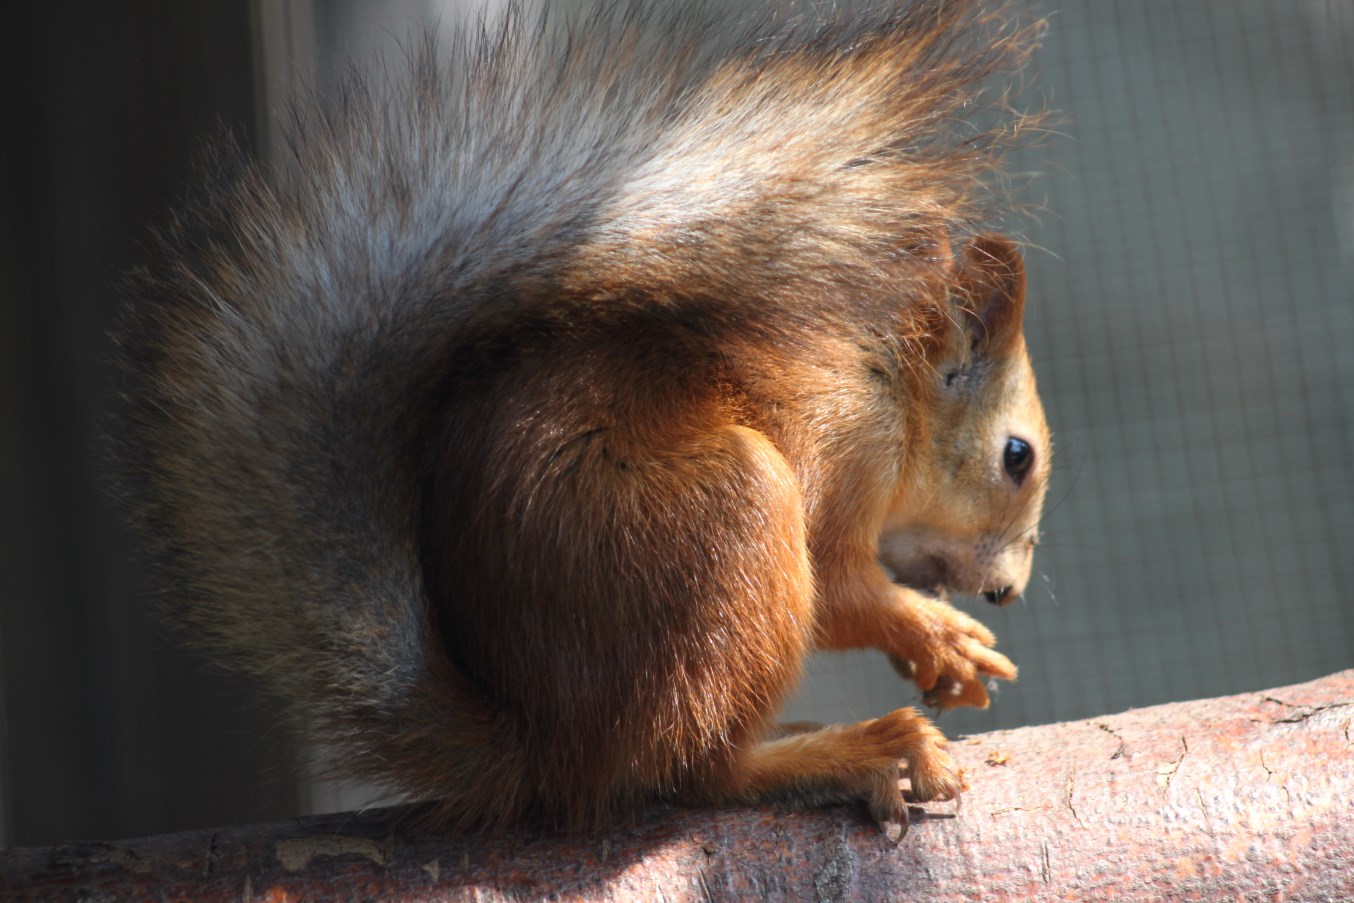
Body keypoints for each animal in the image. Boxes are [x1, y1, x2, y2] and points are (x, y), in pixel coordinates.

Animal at [116, 0, 1049, 835]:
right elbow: (840, 585)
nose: (1007, 591)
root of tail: (546, 751)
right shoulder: (840, 438)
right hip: (726, 522)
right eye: (1018, 455)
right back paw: (856, 750)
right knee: (694, 772)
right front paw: (938, 632)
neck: (887, 379)